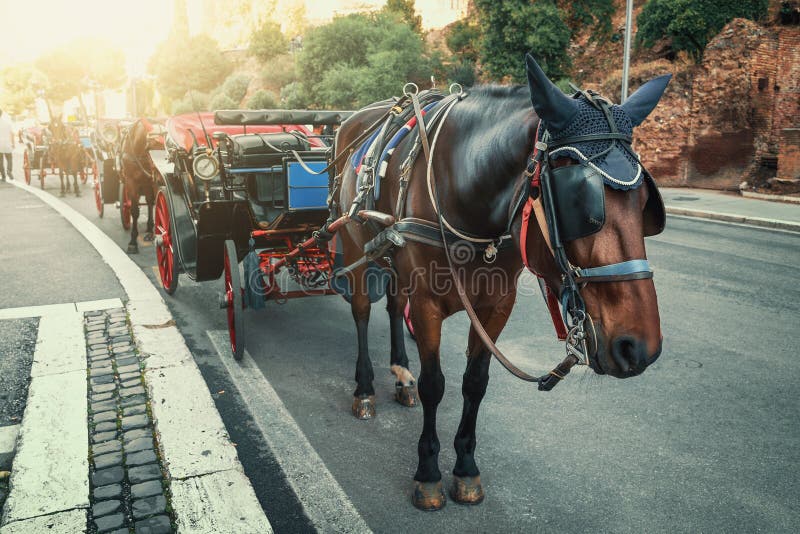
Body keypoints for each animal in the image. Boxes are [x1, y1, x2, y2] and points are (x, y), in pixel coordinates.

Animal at [119, 119, 165, 255]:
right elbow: (134, 211)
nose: (162, 178)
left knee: (150, 202)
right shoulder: (131, 182)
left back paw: (150, 230)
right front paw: (133, 242)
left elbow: (156, 203)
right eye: (151, 148)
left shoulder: (152, 181)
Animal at [334, 56, 672, 512]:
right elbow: (435, 384)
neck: (464, 193)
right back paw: (366, 387)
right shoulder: (426, 301)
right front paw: (428, 473)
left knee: (390, 305)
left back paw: (400, 372)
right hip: (354, 246)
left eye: (646, 205)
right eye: (582, 206)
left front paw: (465, 468)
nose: (638, 347)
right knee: (362, 311)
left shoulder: (497, 304)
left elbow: (475, 384)